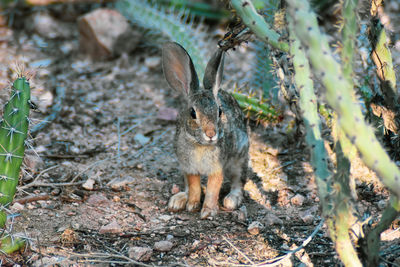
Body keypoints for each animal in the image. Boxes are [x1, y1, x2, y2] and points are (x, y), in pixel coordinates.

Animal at [161, 42, 248, 220]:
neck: (200, 145)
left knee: (238, 181)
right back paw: (179, 199)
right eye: (193, 113)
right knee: (188, 187)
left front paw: (208, 211)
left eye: (220, 111)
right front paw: (192, 205)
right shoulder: (189, 168)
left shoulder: (217, 168)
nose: (211, 134)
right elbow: (194, 186)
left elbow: (213, 189)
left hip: (239, 158)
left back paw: (231, 200)